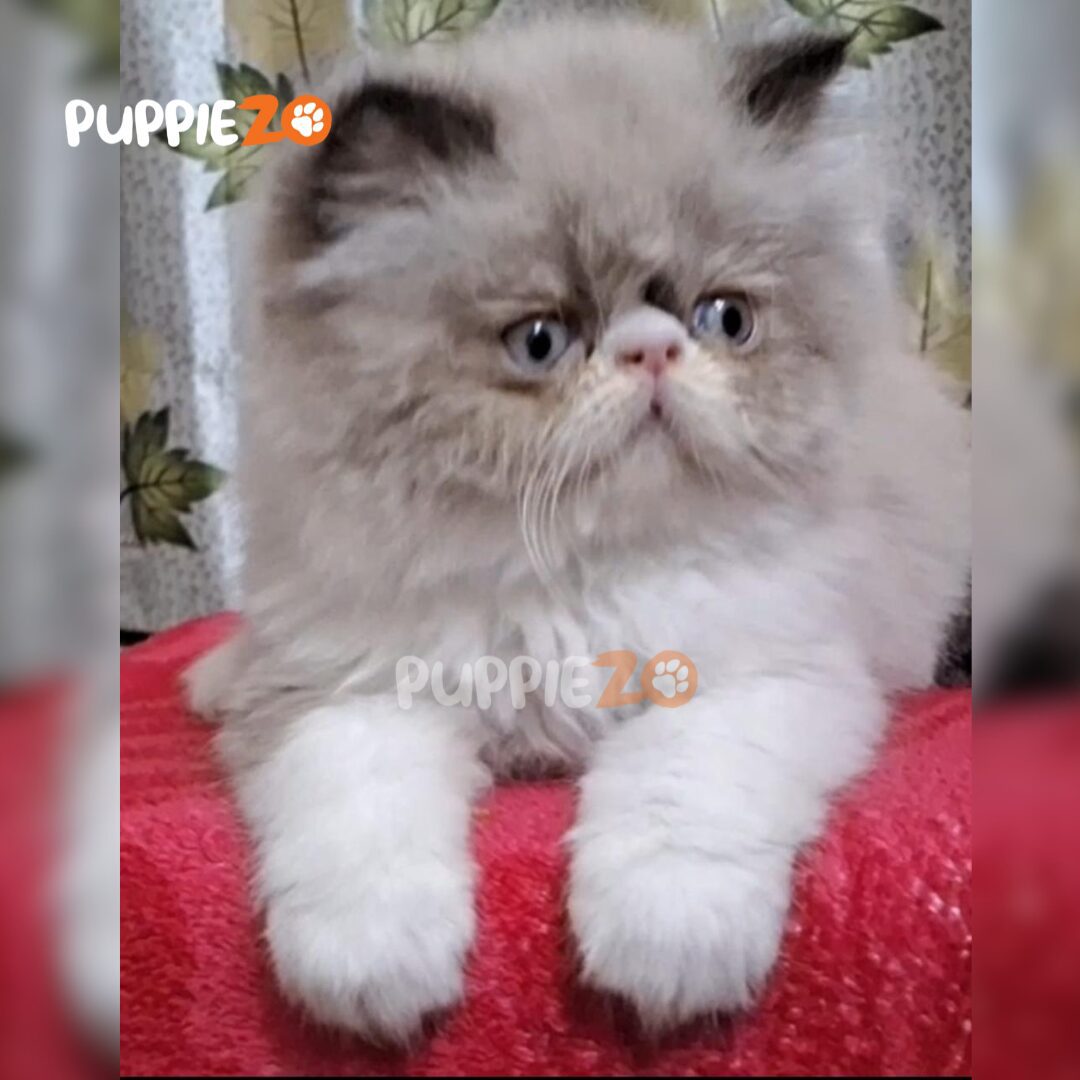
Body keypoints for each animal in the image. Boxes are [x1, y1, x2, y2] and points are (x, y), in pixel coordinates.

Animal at [187, 13, 970, 1041]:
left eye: (726, 319)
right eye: (540, 341)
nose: (654, 350)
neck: (570, 575)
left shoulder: (767, 674)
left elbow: (677, 801)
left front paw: (667, 951)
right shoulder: (345, 693)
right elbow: (358, 826)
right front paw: (372, 974)